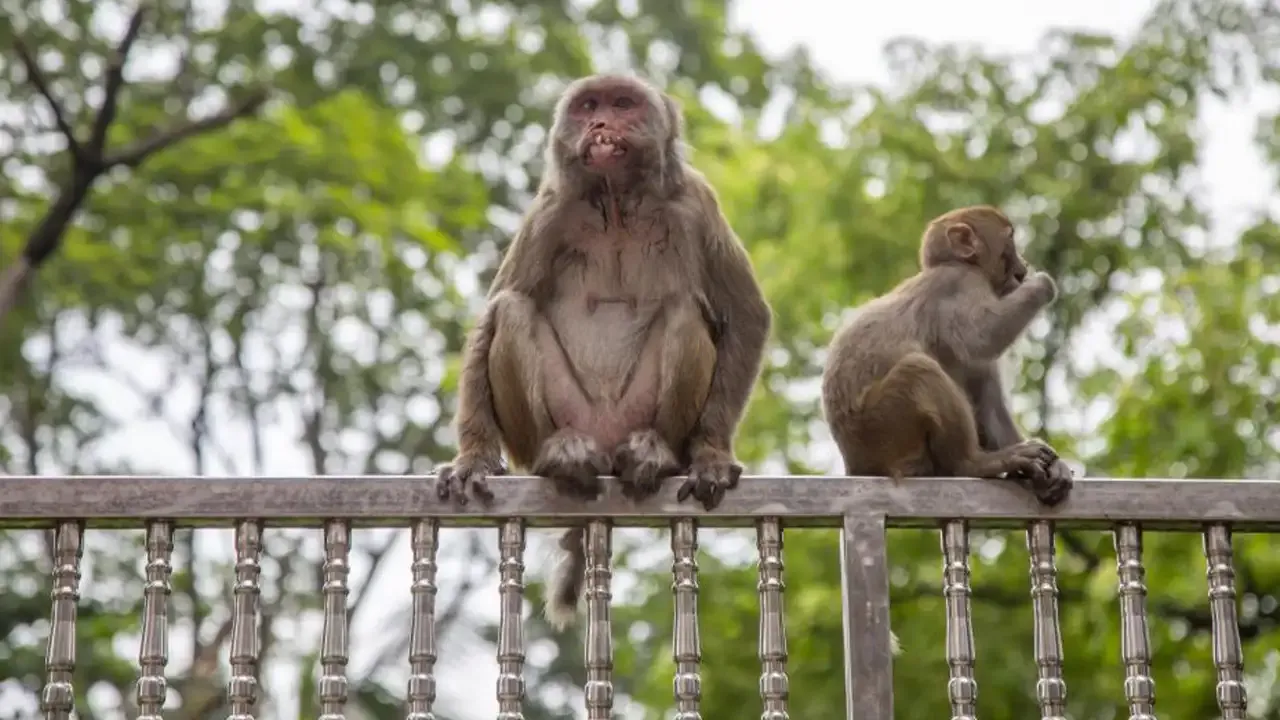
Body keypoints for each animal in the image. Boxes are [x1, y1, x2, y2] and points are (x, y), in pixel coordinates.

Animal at [435, 71, 768, 622]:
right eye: (589, 106)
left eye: (623, 104)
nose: (600, 125)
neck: (616, 202)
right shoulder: (550, 210)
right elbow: (496, 309)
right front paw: (473, 460)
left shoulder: (696, 202)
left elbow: (746, 315)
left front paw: (711, 455)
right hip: (561, 423)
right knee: (512, 310)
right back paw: (560, 455)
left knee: (684, 309)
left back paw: (653, 453)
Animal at [819, 204, 1070, 502]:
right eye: (1010, 239)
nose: (1024, 266)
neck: (955, 264)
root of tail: (856, 464)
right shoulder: (961, 283)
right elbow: (980, 336)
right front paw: (1042, 283)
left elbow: (986, 395)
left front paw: (1056, 468)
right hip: (879, 428)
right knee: (918, 370)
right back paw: (973, 463)